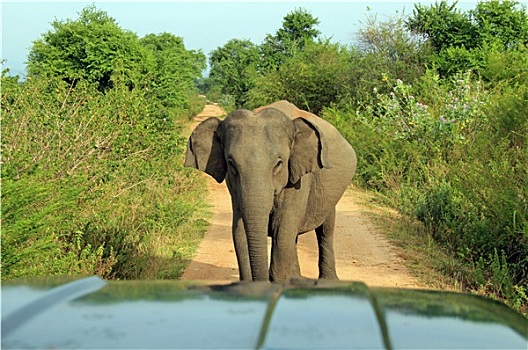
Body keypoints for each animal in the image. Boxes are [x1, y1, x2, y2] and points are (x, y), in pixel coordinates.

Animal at [184, 100, 356, 282]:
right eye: (231, 164)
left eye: (279, 163)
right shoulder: (234, 188)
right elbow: (240, 233)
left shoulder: (297, 181)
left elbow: (282, 233)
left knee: (325, 230)